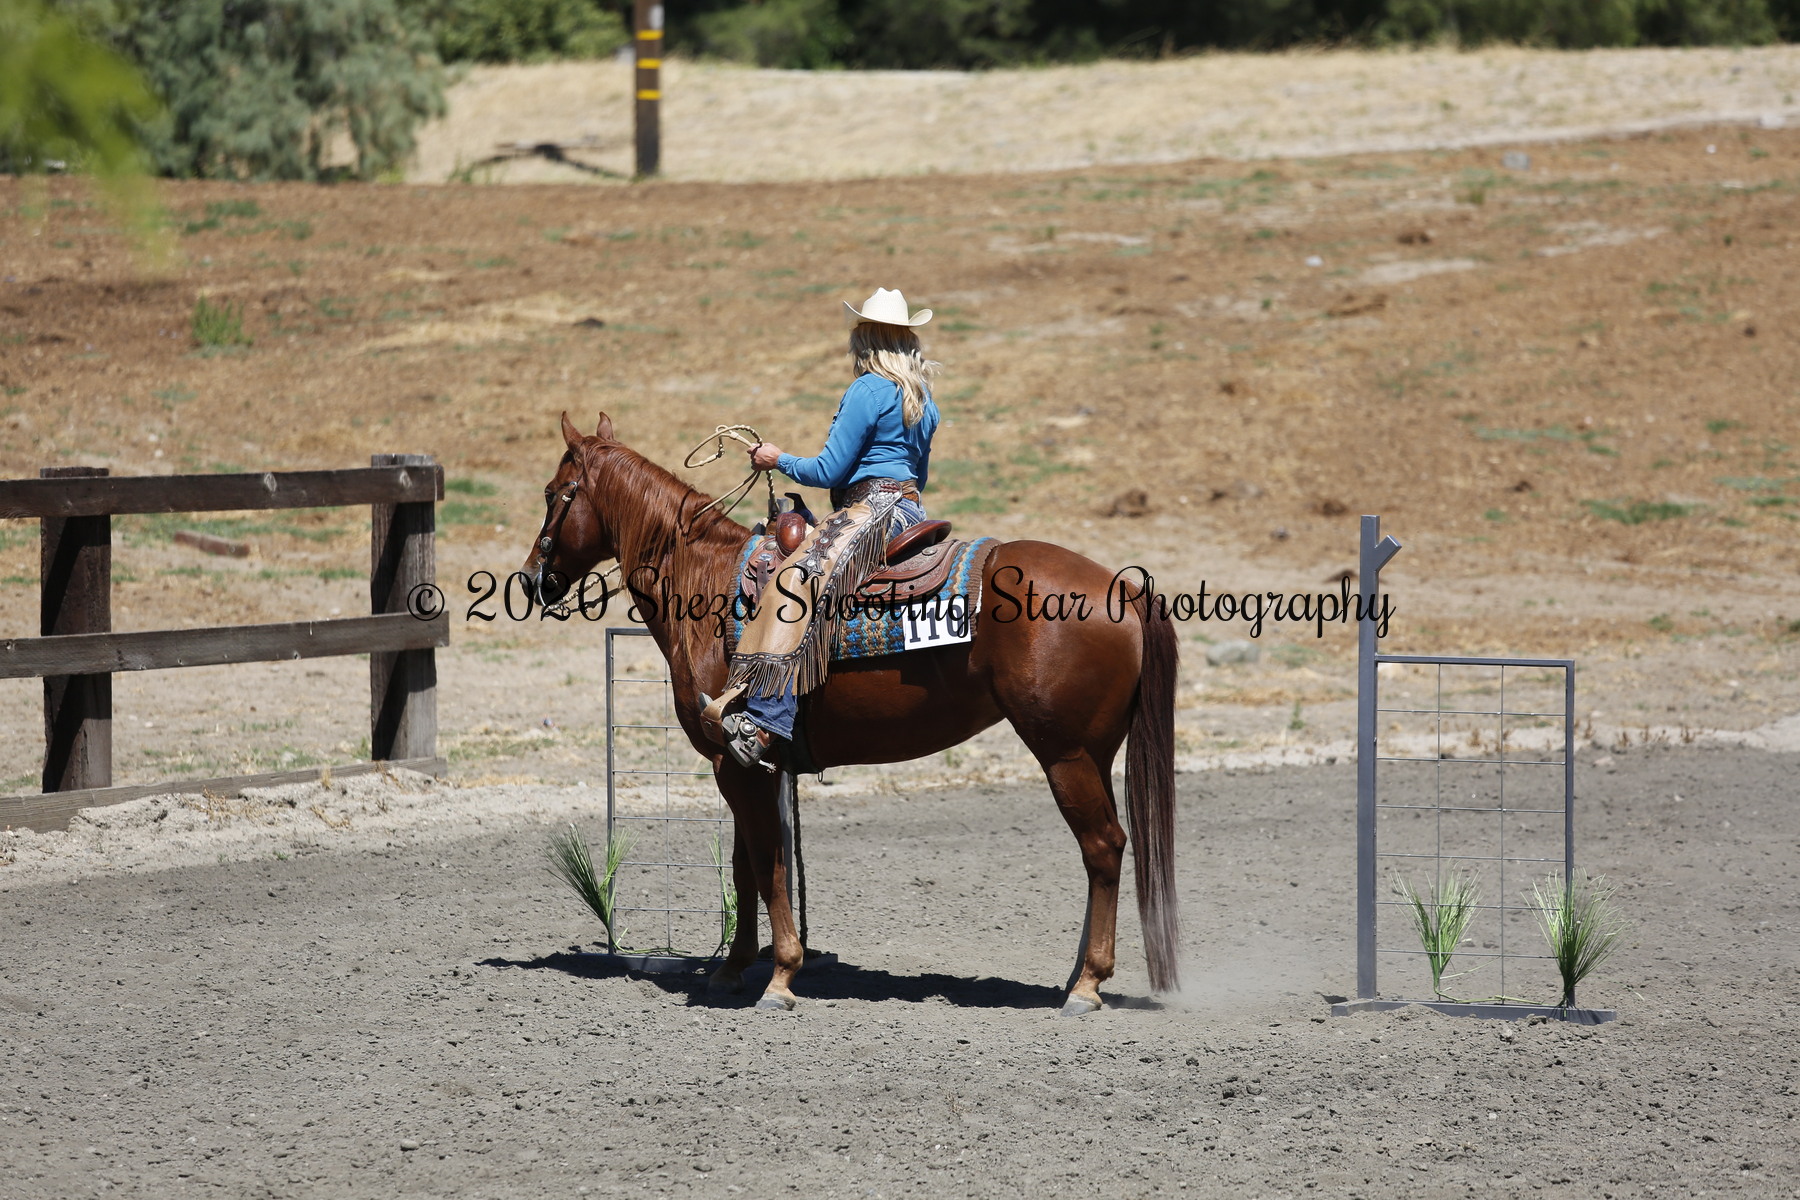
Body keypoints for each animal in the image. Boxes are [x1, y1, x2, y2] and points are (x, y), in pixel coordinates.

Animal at [526, 412, 1180, 1015]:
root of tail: (1122, 589)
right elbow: (743, 865)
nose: (534, 579)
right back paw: (1076, 977)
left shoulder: (734, 763)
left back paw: (1087, 986)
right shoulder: (744, 764)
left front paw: (781, 977)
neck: (708, 584)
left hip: (1064, 752)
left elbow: (766, 863)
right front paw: (731, 970)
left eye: (556, 492)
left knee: (1102, 846)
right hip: (1094, 753)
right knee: (1104, 848)